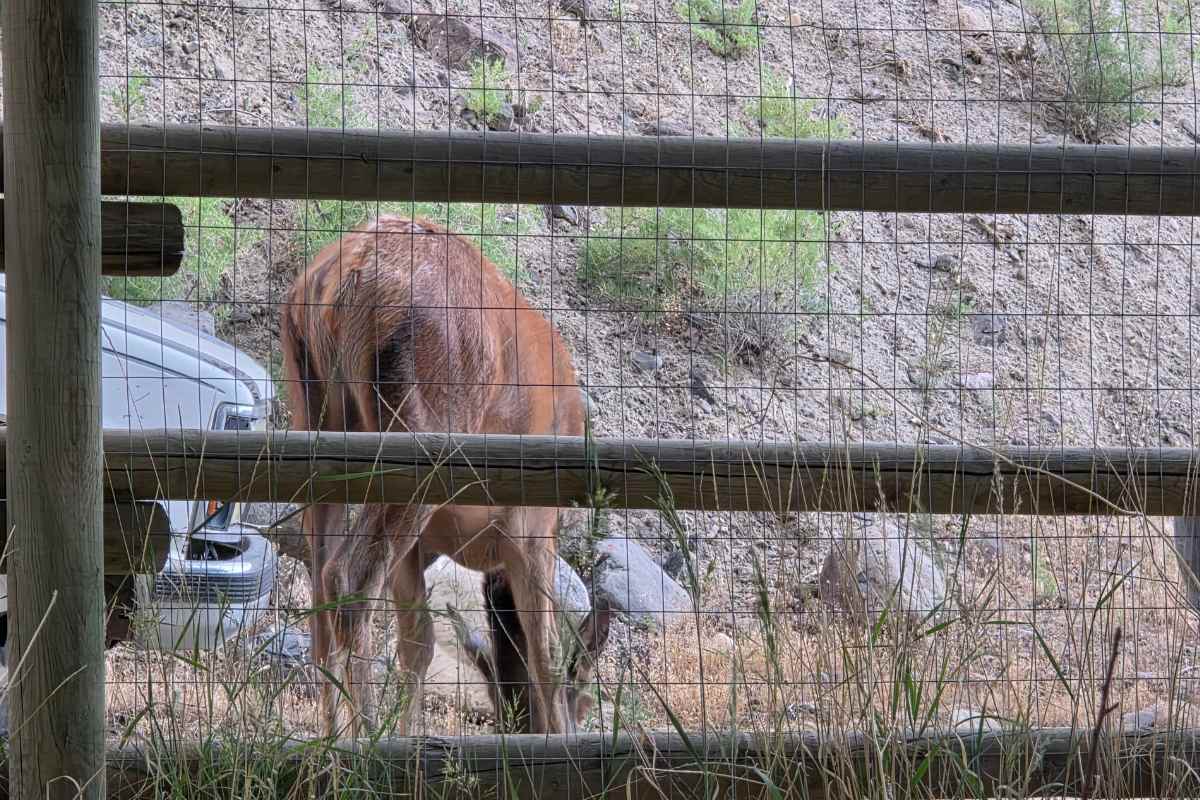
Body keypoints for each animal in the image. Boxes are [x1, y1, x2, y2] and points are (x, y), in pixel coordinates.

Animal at [280, 215, 587, 737]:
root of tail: (338, 277)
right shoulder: (533, 524)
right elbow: (545, 649)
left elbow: (417, 644)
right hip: (420, 445)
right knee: (347, 577)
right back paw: (364, 741)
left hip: (315, 417)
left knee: (321, 584)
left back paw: (332, 742)